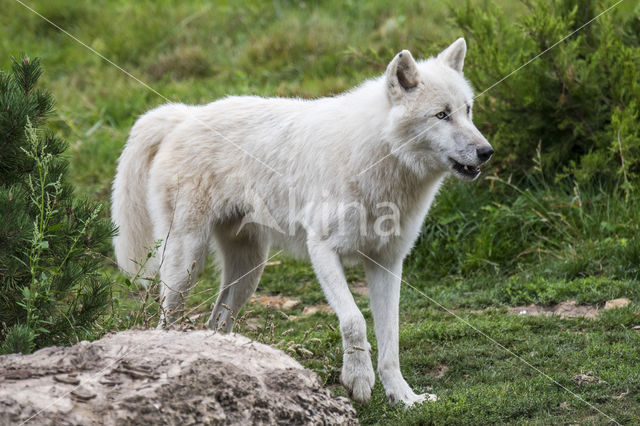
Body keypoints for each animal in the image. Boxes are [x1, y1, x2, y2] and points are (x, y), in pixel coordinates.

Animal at [111, 39, 490, 406]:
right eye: (441, 115)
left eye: (467, 110)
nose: (487, 152)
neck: (377, 158)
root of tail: (185, 115)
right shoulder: (322, 250)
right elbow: (354, 320)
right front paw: (359, 381)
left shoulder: (387, 262)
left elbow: (391, 341)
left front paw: (405, 397)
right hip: (185, 265)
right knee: (167, 321)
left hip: (249, 270)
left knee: (216, 321)